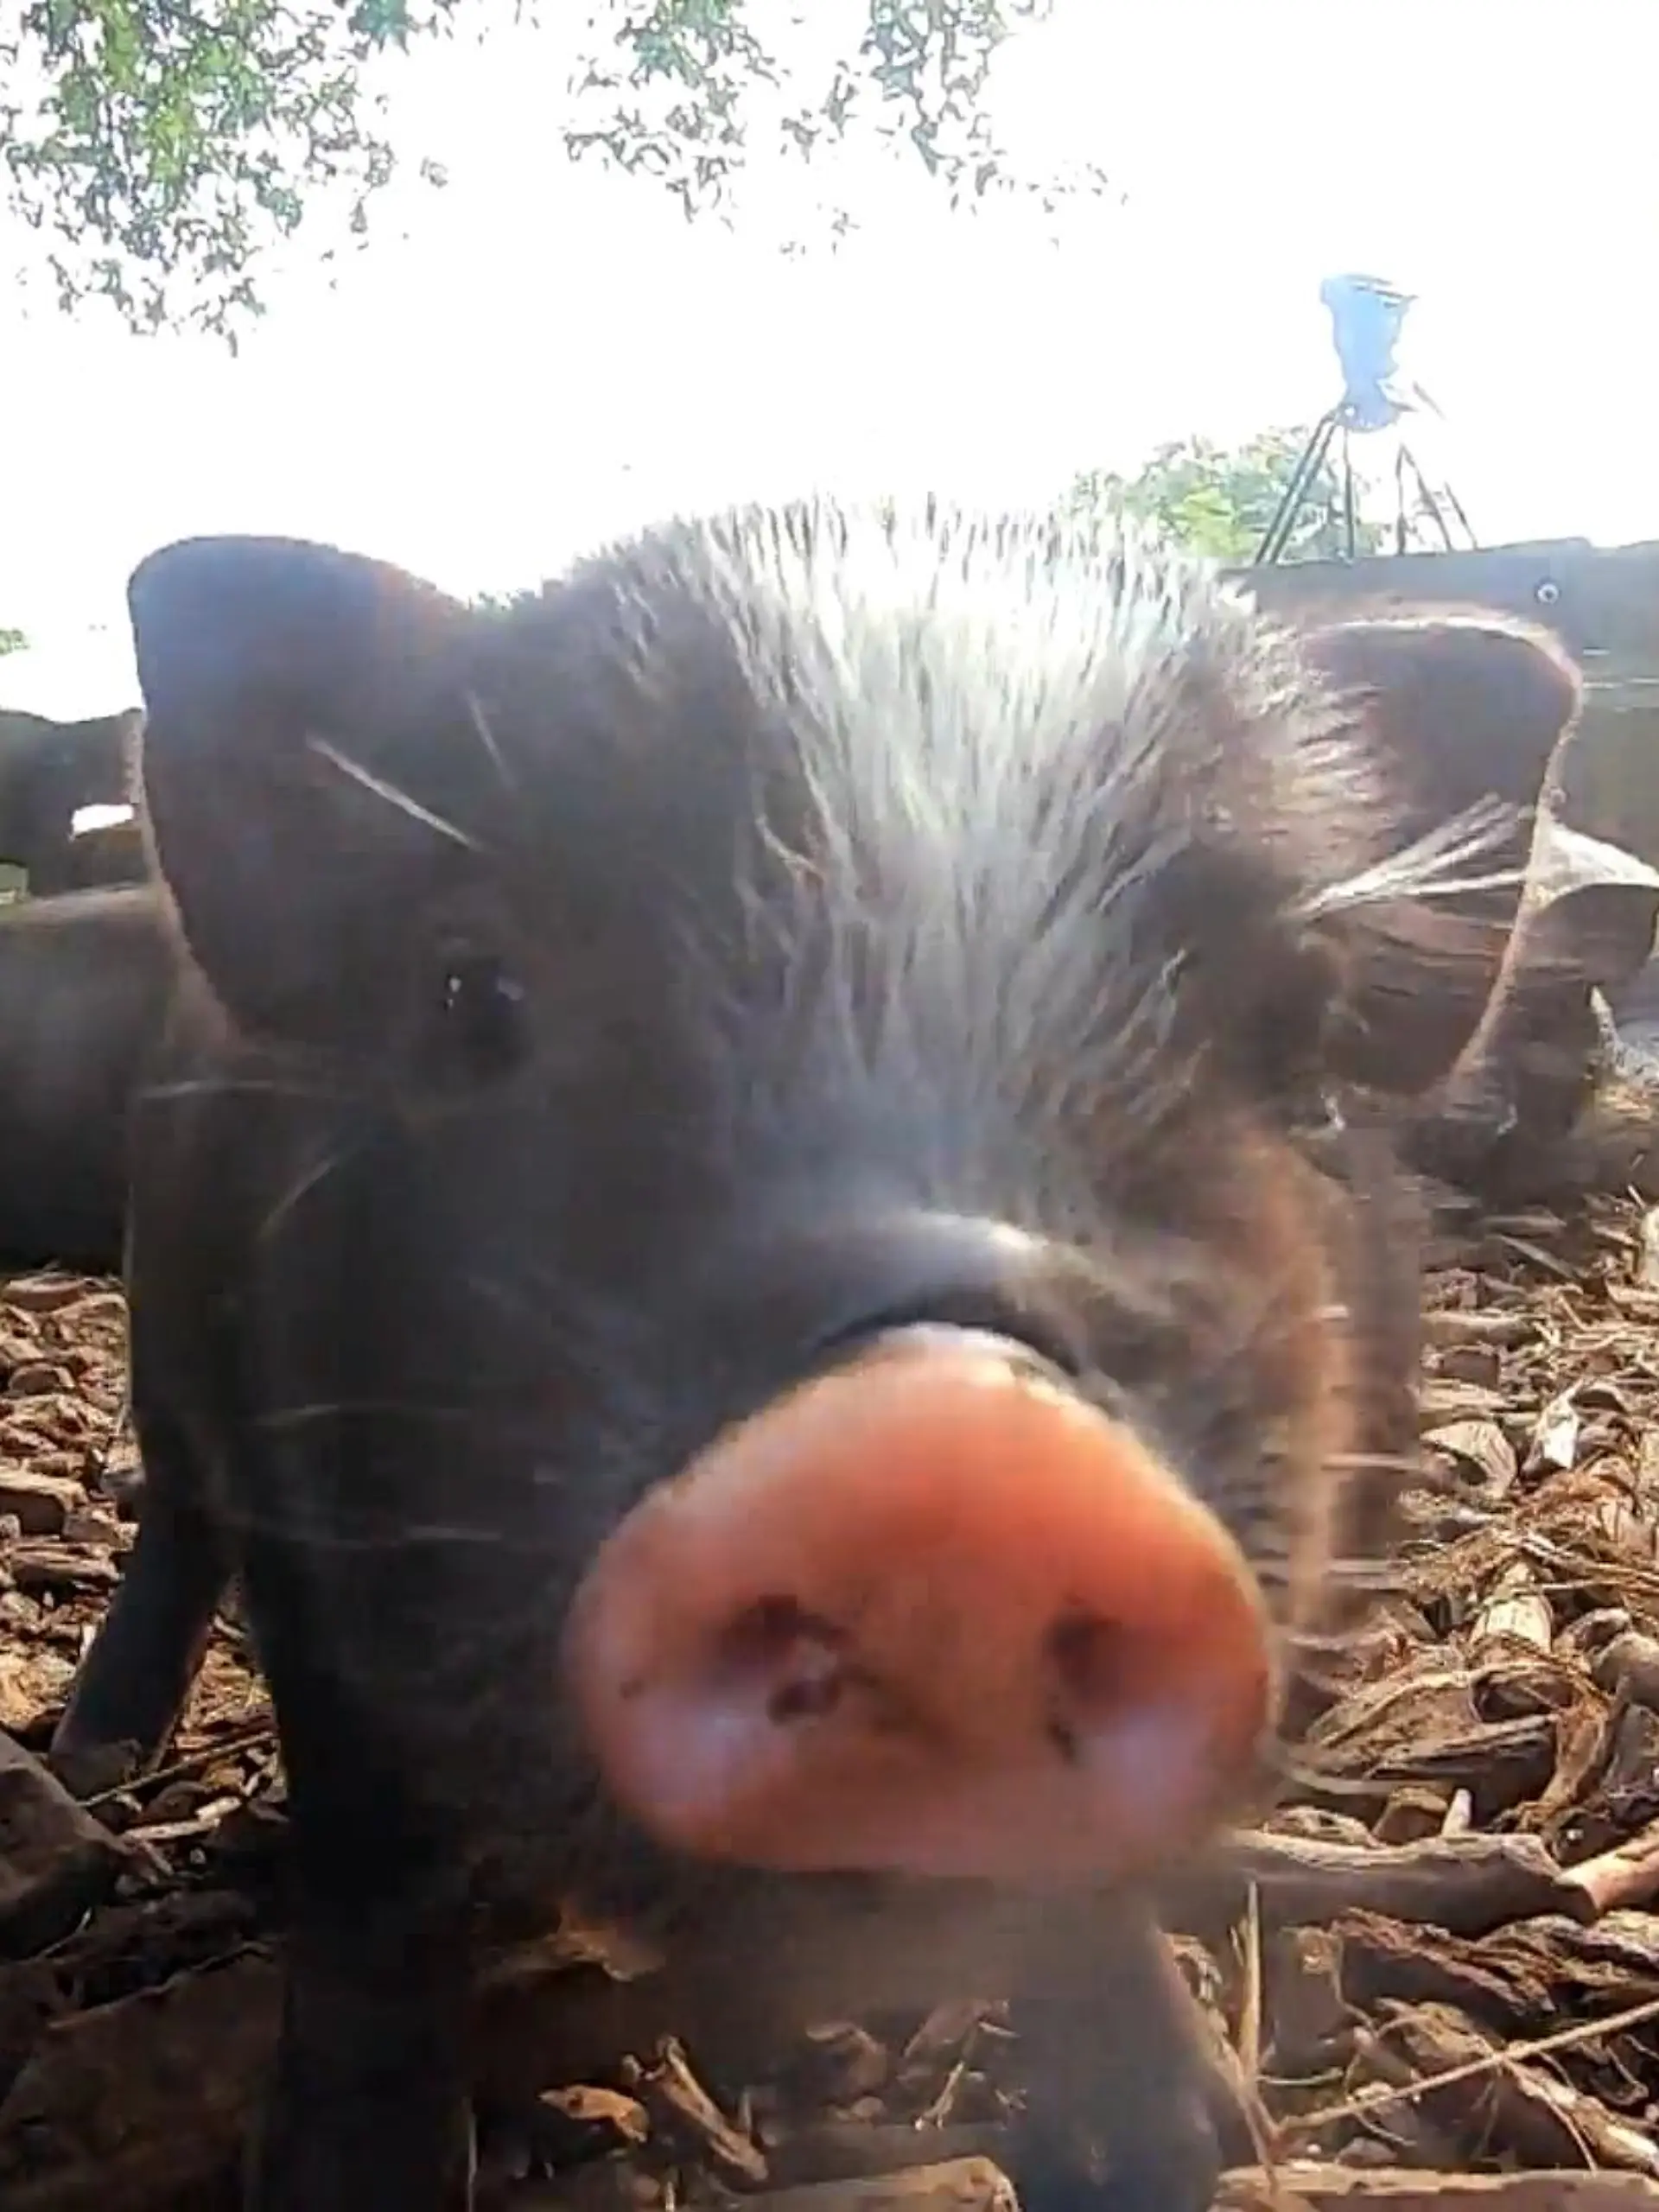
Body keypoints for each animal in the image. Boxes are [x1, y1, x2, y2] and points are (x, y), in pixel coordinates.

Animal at [51, 503, 1583, 2212]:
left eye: (1302, 1031)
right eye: (471, 992)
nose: (955, 1443)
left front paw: (1188, 2144)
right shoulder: (312, 1558)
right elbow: (369, 1863)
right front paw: (346, 2175)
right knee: (169, 1529)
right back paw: (92, 1755)